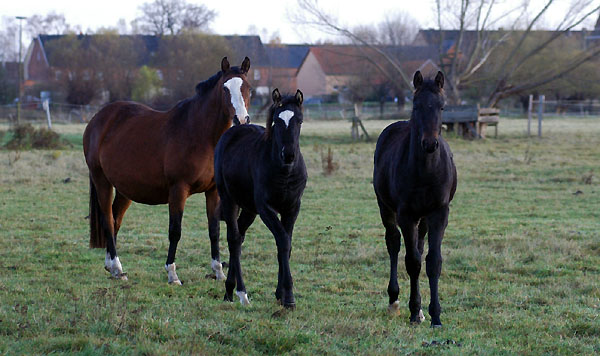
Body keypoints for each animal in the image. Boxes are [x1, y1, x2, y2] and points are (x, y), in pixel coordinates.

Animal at [82, 56, 251, 284]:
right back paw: (117, 265)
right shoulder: (178, 190)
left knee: (116, 219)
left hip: (125, 189)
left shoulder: (213, 191)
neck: (199, 133)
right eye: (225, 89)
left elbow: (214, 230)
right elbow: (175, 231)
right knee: (108, 219)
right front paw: (172, 273)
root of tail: (98, 119)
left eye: (248, 88)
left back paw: (113, 267)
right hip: (102, 181)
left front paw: (218, 271)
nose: (241, 120)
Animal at [213, 87, 308, 308]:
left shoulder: (292, 208)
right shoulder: (266, 208)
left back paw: (230, 289)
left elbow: (287, 245)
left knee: (239, 237)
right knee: (233, 238)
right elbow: (283, 241)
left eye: (299, 121)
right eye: (277, 121)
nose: (288, 155)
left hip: (249, 209)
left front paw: (281, 293)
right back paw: (239, 292)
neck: (284, 172)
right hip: (229, 200)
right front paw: (289, 297)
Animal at [372, 71, 458, 326]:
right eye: (416, 105)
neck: (426, 171)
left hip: (424, 218)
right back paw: (394, 301)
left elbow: (433, 261)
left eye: (442, 106)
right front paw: (413, 310)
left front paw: (435, 315)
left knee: (419, 246)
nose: (430, 143)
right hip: (386, 208)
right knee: (393, 243)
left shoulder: (439, 212)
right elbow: (412, 262)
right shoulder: (406, 214)